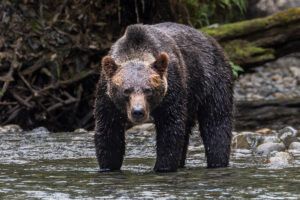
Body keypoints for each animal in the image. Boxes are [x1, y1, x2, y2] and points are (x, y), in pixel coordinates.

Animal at [95, 22, 233, 172]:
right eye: (126, 90)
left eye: (148, 90)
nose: (138, 111)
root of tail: (210, 39)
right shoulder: (107, 98)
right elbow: (109, 132)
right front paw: (109, 166)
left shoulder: (172, 89)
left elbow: (170, 128)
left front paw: (163, 166)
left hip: (211, 79)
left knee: (216, 121)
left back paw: (217, 162)